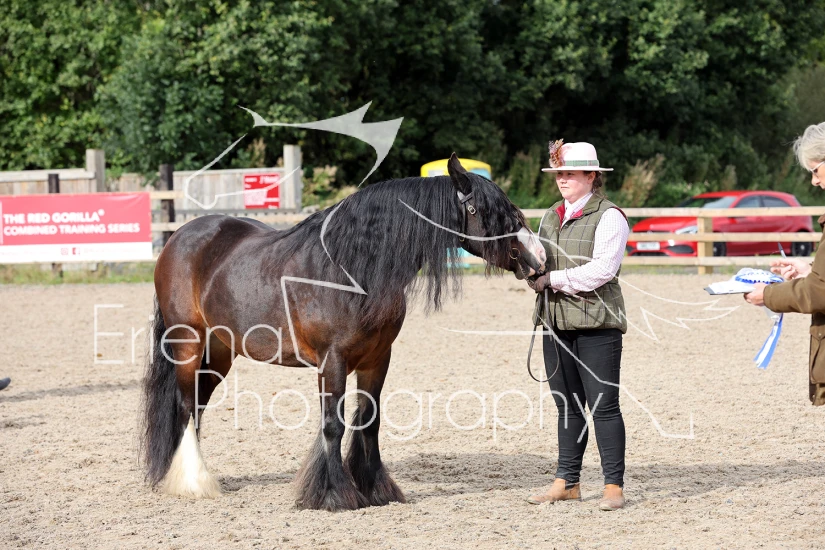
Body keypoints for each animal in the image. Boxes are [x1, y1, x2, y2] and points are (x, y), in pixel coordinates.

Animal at [140, 154, 546, 511]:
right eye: (482, 211)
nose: (539, 259)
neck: (350, 269)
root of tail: (180, 236)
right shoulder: (332, 361)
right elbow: (333, 425)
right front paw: (335, 495)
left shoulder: (377, 359)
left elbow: (370, 420)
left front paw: (375, 488)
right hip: (188, 343)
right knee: (184, 404)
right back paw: (192, 482)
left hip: (221, 351)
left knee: (196, 404)